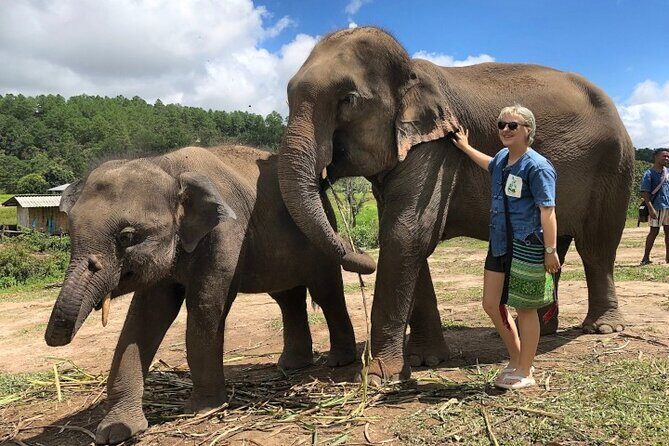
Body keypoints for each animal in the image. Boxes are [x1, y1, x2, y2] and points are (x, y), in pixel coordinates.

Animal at [44, 144, 363, 444]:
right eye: (69, 233)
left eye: (128, 237)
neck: (168, 168)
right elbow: (146, 316)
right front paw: (115, 432)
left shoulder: (226, 233)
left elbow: (206, 305)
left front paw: (203, 409)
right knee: (287, 298)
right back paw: (292, 365)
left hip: (320, 232)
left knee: (325, 291)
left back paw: (338, 361)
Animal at [277, 26, 634, 383]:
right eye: (288, 98)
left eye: (348, 100)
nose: (361, 254)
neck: (411, 71)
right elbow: (408, 240)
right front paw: (425, 360)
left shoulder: (436, 150)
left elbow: (404, 235)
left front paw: (377, 376)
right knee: (555, 247)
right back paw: (537, 329)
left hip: (615, 167)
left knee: (597, 248)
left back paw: (602, 328)